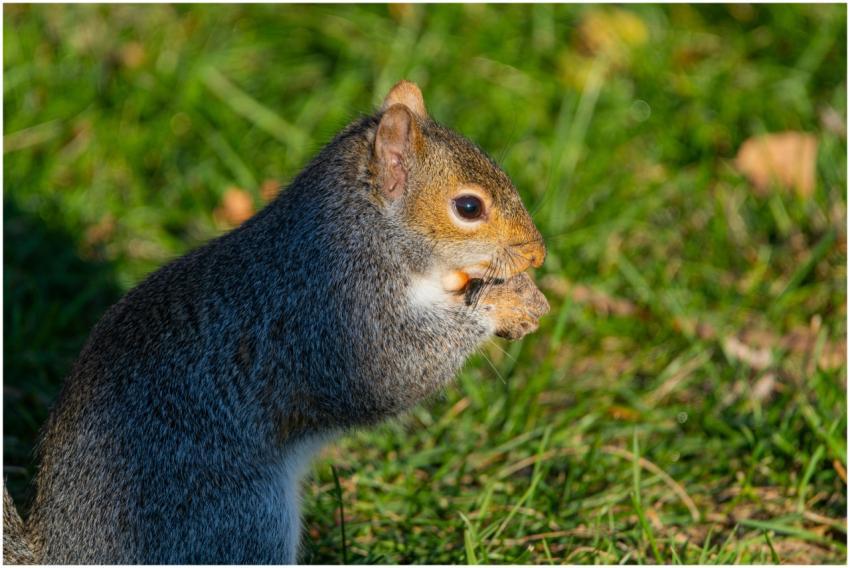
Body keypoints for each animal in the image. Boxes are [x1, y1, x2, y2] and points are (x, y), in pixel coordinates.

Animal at [3, 81, 548, 564]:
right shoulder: (331, 319)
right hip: (239, 518)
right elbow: (392, 374)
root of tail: (59, 551)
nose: (538, 255)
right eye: (468, 207)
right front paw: (501, 307)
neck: (358, 236)